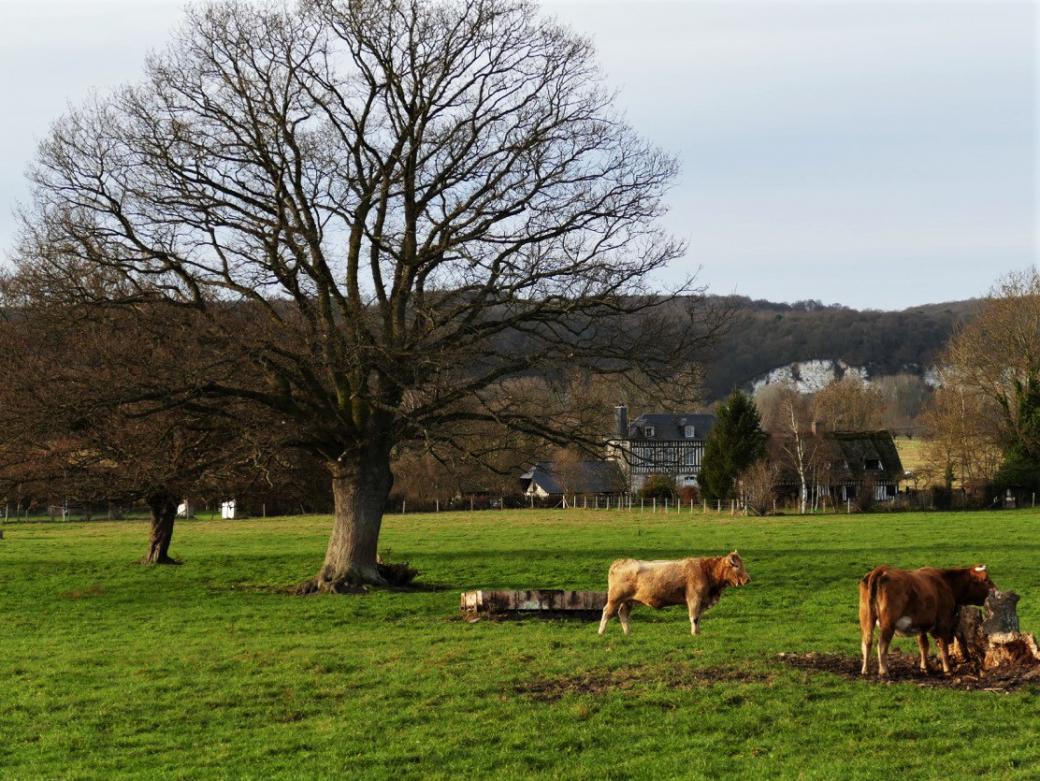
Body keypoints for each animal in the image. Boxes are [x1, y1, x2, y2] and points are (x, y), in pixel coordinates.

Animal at [599, 549, 752, 636]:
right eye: (736, 565)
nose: (748, 579)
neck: (706, 571)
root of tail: (621, 561)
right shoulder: (694, 599)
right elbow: (694, 617)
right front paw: (694, 634)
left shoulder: (702, 602)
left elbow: (699, 618)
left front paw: (698, 632)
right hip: (615, 598)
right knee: (607, 612)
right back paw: (601, 632)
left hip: (628, 601)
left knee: (623, 614)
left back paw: (628, 633)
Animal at [856, 561, 994, 678]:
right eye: (986, 580)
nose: (995, 590)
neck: (946, 582)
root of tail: (881, 570)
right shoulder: (943, 622)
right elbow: (943, 646)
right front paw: (947, 669)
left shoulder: (920, 624)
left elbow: (923, 645)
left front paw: (925, 668)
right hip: (888, 623)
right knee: (882, 644)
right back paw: (884, 671)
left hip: (866, 618)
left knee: (867, 641)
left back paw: (865, 670)